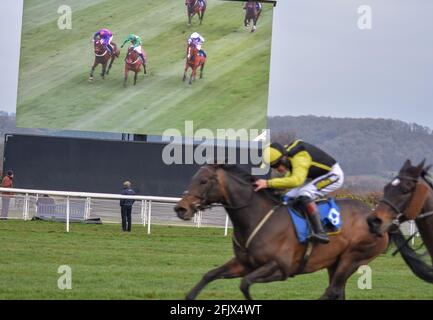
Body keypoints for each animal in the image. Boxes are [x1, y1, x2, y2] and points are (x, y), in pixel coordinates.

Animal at [174, 165, 386, 300]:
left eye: (203, 181)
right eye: (193, 179)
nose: (180, 208)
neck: (256, 217)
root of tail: (375, 215)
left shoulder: (281, 268)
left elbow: (245, 284)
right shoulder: (244, 264)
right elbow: (209, 275)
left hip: (353, 258)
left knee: (332, 291)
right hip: (335, 263)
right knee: (337, 291)